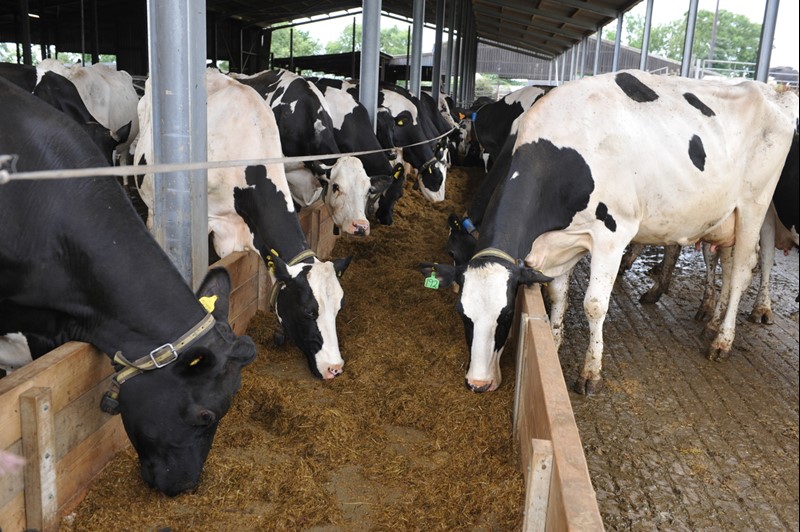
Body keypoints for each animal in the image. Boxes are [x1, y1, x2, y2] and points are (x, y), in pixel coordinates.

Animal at [422, 70, 796, 394]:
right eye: (462, 314)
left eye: (507, 316)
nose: (478, 383)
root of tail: (775, 90)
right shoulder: (561, 242)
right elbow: (558, 293)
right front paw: (553, 342)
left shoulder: (612, 236)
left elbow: (594, 305)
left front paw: (591, 372)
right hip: (723, 218)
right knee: (729, 265)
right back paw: (712, 322)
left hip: (755, 208)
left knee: (744, 271)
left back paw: (724, 338)